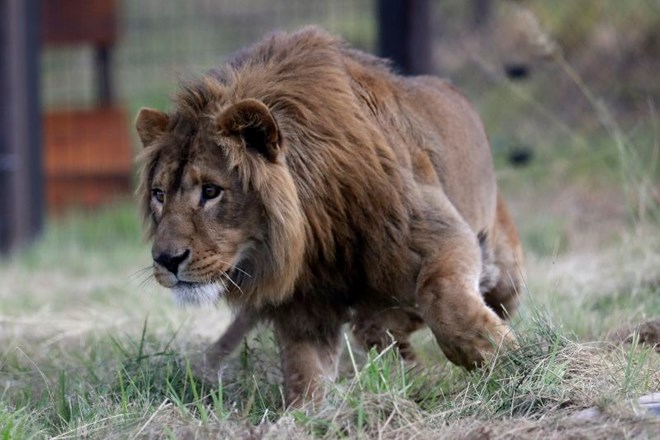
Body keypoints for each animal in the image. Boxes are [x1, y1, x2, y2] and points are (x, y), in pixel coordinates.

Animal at [135, 26, 524, 406]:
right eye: (159, 194)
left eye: (211, 191)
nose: (166, 260)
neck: (316, 229)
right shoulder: (305, 302)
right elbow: (304, 368)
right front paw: (309, 413)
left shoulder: (436, 234)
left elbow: (442, 296)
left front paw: (499, 356)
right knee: (379, 328)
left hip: (505, 269)